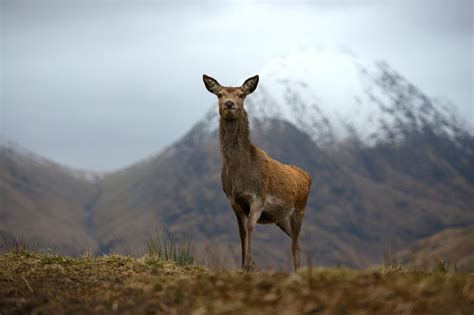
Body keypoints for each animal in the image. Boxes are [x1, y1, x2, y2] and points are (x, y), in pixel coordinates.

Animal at [203, 74, 312, 272]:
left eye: (241, 94)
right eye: (220, 94)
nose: (229, 104)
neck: (240, 176)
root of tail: (308, 176)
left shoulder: (258, 197)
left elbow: (251, 226)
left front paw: (250, 264)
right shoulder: (234, 201)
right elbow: (242, 231)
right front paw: (243, 265)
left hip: (300, 208)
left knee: (296, 241)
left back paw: (298, 270)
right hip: (281, 217)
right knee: (297, 239)